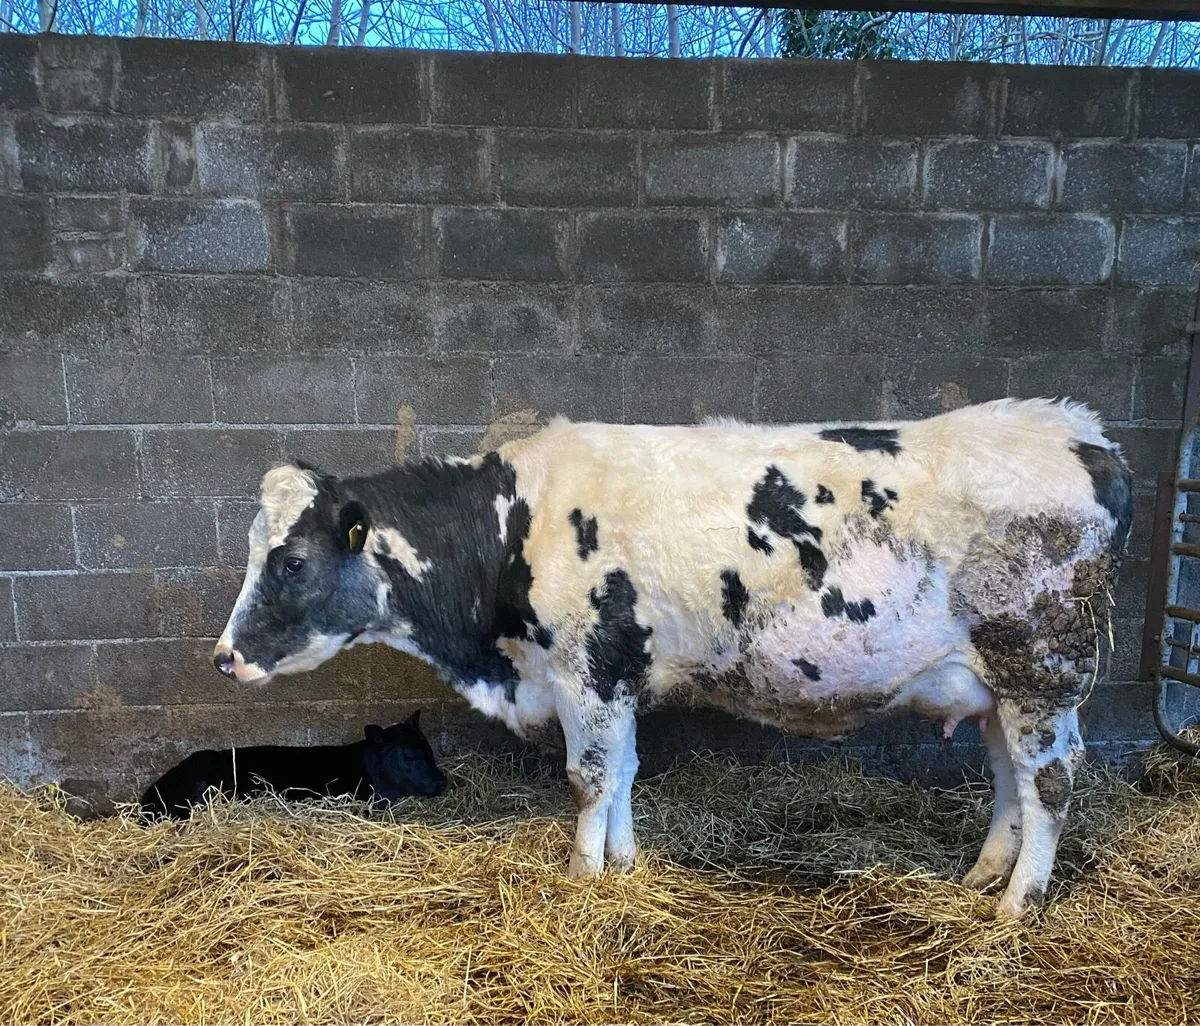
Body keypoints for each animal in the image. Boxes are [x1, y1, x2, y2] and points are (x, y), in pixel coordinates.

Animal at [213, 397, 1131, 918]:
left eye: (291, 562)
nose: (225, 658)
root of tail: (1076, 430)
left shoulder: (587, 665)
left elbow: (589, 777)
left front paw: (582, 877)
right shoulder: (616, 673)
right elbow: (621, 772)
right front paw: (621, 865)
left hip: (1043, 668)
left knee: (1051, 782)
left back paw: (1019, 905)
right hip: (998, 684)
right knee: (1011, 776)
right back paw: (984, 875)